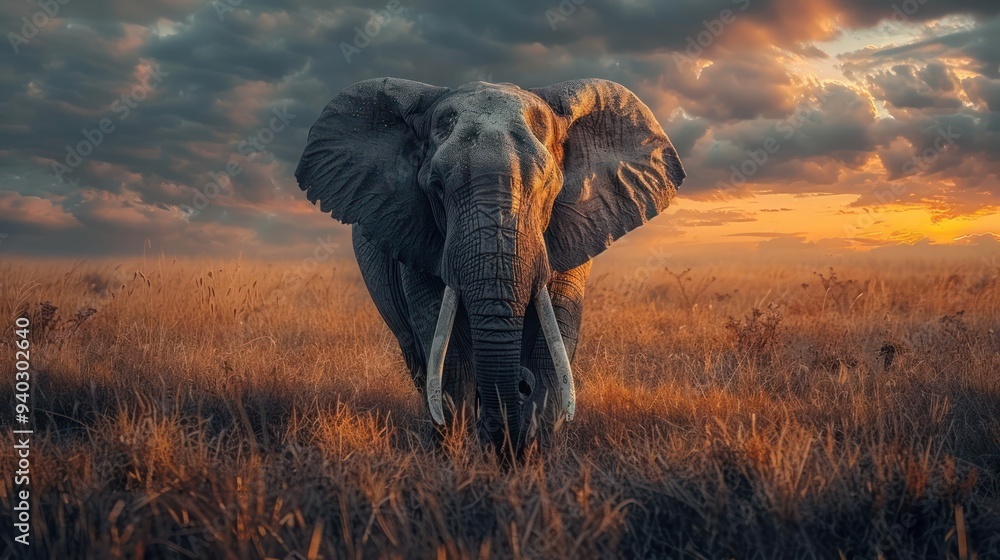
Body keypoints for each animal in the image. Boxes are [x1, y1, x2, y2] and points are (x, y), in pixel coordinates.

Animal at [295, 77, 685, 457]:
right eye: (437, 187)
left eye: (549, 187)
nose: (521, 385)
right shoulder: (418, 235)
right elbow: (448, 349)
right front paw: (458, 460)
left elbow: (554, 340)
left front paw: (534, 460)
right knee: (419, 360)